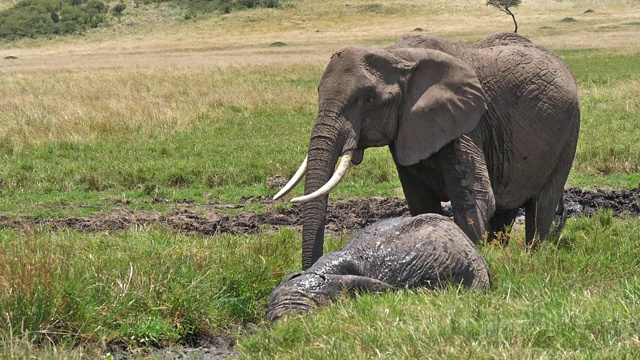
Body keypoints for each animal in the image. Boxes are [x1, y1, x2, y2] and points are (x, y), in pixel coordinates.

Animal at [276, 33, 580, 270]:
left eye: (369, 99)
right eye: (318, 92)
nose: (306, 270)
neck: (396, 56)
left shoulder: (466, 124)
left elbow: (476, 199)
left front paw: (476, 257)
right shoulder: (408, 130)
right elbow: (421, 203)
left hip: (568, 132)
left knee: (541, 205)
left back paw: (534, 254)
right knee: (506, 209)